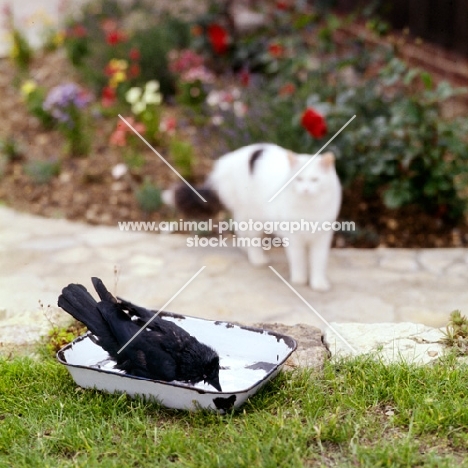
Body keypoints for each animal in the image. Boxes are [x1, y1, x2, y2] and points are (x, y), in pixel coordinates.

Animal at [165, 144, 340, 288]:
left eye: (315, 180)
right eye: (299, 179)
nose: (305, 189)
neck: (309, 207)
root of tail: (228, 160)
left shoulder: (322, 238)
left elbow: (319, 262)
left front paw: (318, 283)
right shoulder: (294, 238)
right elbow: (298, 260)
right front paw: (299, 280)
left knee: (242, 233)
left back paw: (246, 251)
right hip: (251, 215)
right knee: (250, 237)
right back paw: (257, 258)